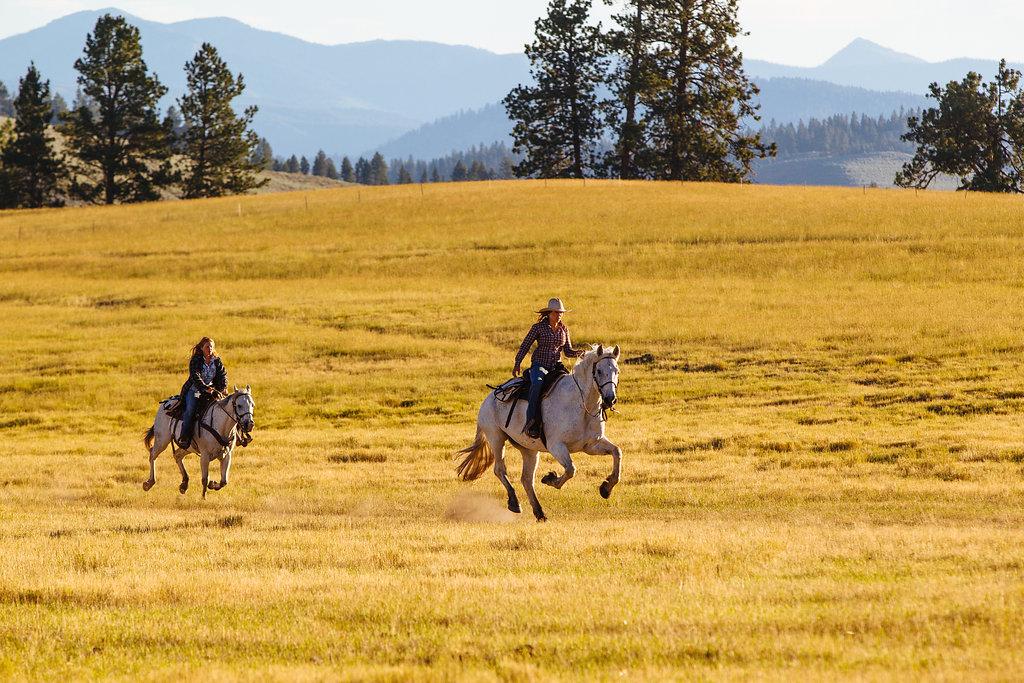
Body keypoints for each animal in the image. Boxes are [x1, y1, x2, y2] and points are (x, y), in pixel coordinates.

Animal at [458, 344, 622, 520]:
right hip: (496, 439)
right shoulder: (556, 446)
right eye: (599, 371)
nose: (610, 399)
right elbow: (571, 469)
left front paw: (606, 488)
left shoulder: (591, 445)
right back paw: (515, 503)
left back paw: (539, 513)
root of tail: (488, 399)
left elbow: (617, 452)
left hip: (529, 450)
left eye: (617, 370)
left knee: (526, 479)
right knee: (500, 470)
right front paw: (550, 478)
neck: (581, 404)